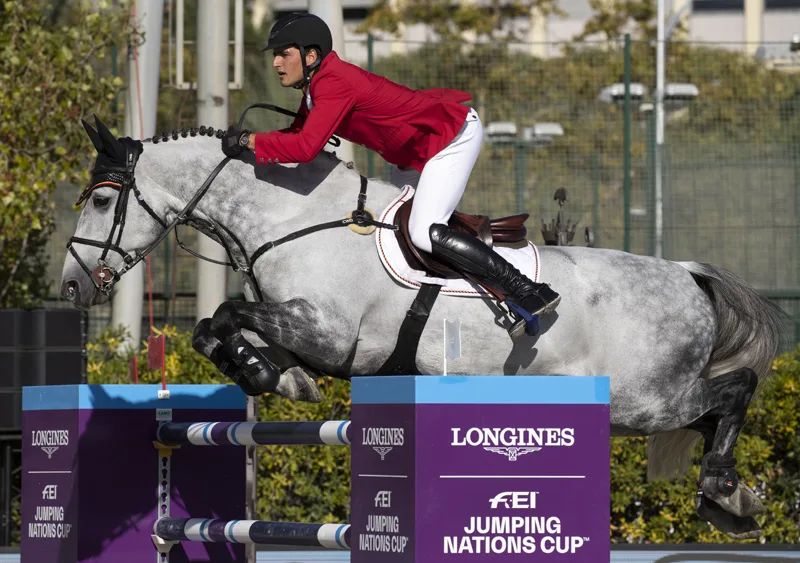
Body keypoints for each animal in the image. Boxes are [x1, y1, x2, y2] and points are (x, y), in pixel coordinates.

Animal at [62, 115, 788, 540]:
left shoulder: (331, 335)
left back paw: (725, 491)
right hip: (646, 403)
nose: (72, 286)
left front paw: (274, 375)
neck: (293, 218)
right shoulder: (304, 329)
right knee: (712, 412)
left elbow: (227, 317)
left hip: (647, 400)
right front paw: (276, 376)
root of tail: (689, 275)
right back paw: (732, 499)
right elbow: (213, 330)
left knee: (734, 391)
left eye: (101, 199)